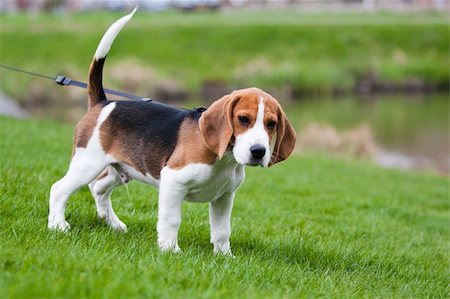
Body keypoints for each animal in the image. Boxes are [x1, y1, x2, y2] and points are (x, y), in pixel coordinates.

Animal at [48, 8, 296, 255]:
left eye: (271, 124)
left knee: (98, 188)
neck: (224, 158)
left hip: (120, 168)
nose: (258, 152)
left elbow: (222, 230)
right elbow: (171, 220)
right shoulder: (173, 182)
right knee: (59, 189)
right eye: (243, 119)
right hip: (87, 163)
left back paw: (114, 224)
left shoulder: (224, 197)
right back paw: (58, 225)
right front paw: (170, 250)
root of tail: (103, 103)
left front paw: (224, 256)